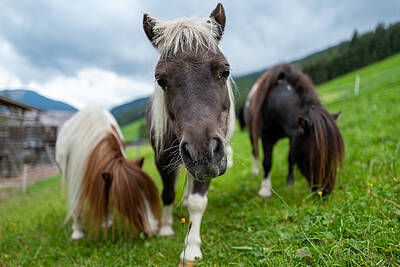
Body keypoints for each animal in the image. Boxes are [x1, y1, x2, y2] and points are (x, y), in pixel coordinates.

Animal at [55, 107, 161, 241]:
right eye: (128, 203)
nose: (153, 230)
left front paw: (107, 221)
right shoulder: (76, 177)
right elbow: (76, 204)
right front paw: (77, 231)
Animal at [142, 2, 234, 264]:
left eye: (225, 71)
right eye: (160, 80)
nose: (201, 151)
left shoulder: (215, 158)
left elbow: (197, 201)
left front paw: (191, 247)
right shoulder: (162, 161)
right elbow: (167, 193)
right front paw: (165, 228)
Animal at [245, 64, 346, 198]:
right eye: (312, 157)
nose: (325, 192)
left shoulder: (294, 136)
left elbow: (291, 157)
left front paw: (290, 182)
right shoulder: (267, 137)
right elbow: (267, 162)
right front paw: (265, 189)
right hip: (252, 134)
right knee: (254, 152)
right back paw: (255, 172)